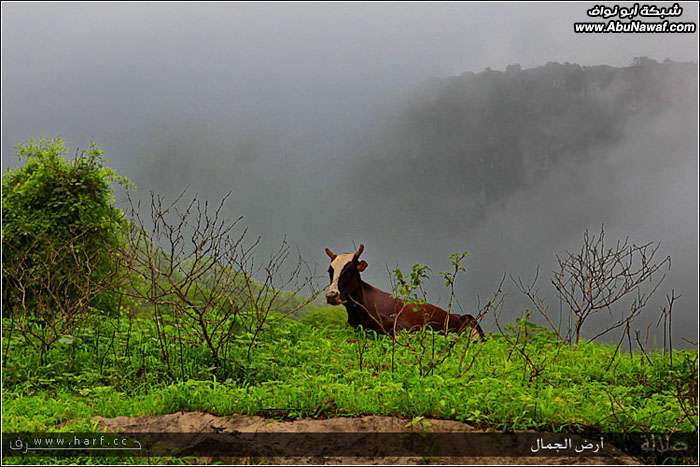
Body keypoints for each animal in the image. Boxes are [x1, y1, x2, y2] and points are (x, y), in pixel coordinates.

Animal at [326, 245, 484, 340]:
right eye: (330, 271)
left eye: (350, 269)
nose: (331, 295)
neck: (360, 313)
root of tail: (461, 316)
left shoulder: (405, 327)